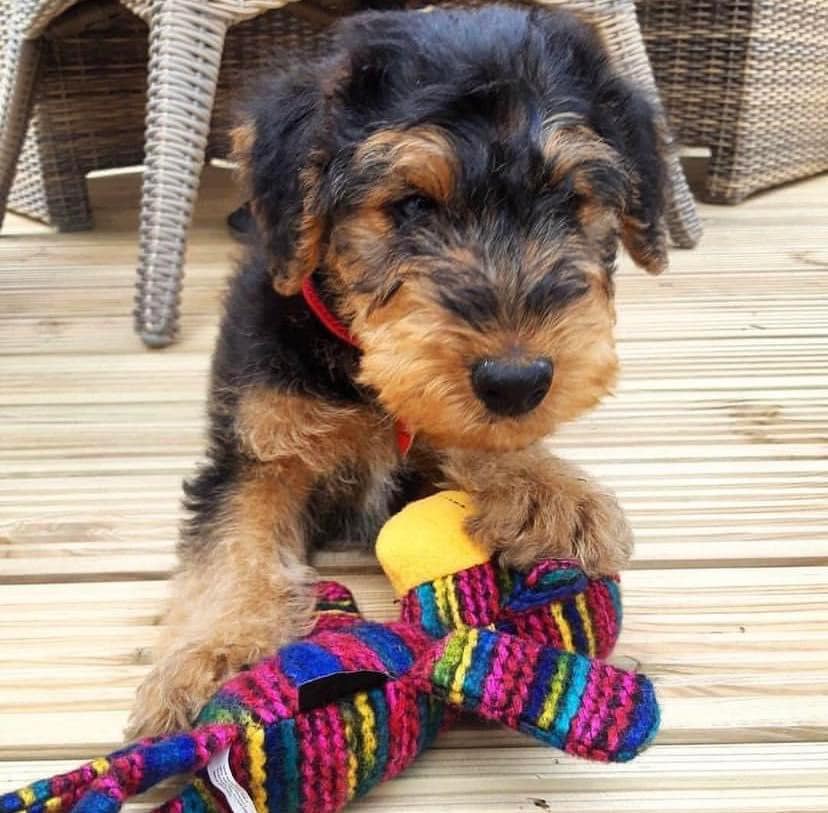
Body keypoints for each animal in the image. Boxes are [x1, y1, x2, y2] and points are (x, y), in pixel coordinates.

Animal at [127, 4, 668, 737]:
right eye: (411, 204)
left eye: (565, 199)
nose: (517, 379)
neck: (357, 364)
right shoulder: (255, 448)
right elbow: (233, 542)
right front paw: (213, 658)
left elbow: (463, 433)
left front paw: (550, 490)